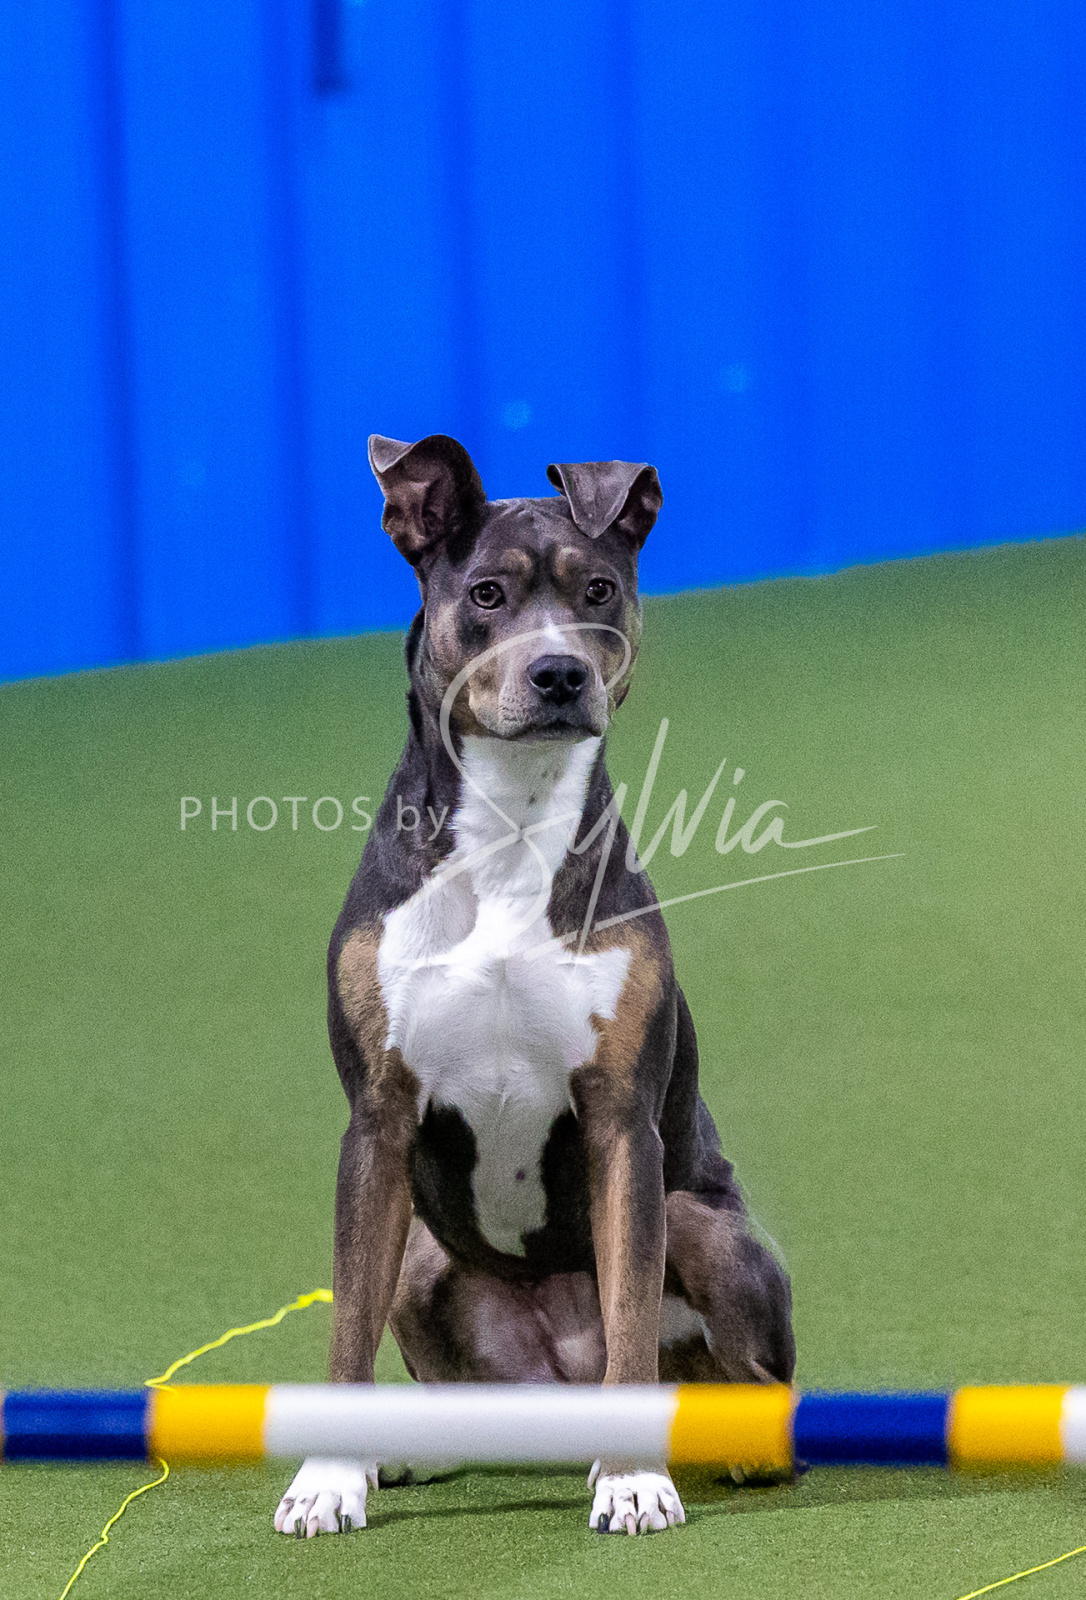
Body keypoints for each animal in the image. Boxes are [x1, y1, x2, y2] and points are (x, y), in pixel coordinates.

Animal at [274, 434, 795, 1539]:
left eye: (599, 587)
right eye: (486, 592)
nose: (559, 672)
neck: (511, 823)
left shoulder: (621, 1124)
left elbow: (632, 1309)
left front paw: (635, 1482)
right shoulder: (377, 1123)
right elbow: (345, 1324)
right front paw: (329, 1478)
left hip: (705, 1226)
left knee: (746, 1380)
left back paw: (721, 1447)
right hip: (424, 1255)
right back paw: (411, 1452)